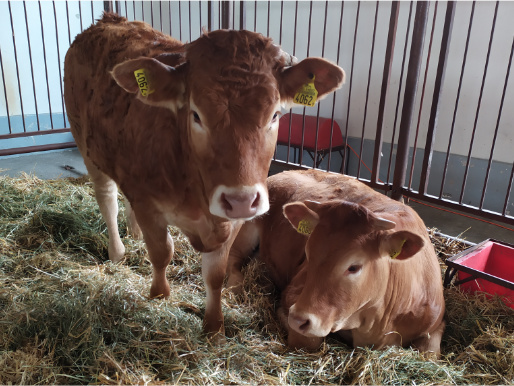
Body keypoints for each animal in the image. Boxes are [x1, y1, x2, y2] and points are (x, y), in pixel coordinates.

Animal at [64, 12, 344, 338]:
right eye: (196, 114)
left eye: (275, 115)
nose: (241, 200)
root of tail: (110, 18)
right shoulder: (149, 205)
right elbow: (162, 253)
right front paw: (159, 295)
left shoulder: (230, 221)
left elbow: (215, 275)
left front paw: (214, 326)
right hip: (87, 146)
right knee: (107, 199)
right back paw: (118, 251)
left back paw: (133, 234)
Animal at [226, 170, 442, 354]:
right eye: (308, 254)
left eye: (354, 267)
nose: (297, 319)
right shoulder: (294, 295)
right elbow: (309, 341)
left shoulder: (436, 325)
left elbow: (430, 354)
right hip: (245, 229)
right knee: (232, 259)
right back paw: (237, 287)